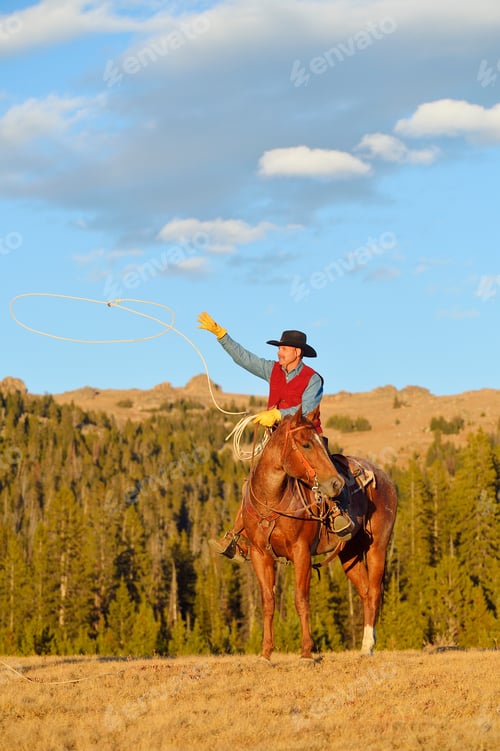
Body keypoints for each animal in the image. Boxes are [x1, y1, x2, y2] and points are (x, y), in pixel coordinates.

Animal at [241, 406, 398, 661]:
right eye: (305, 444)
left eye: (322, 443)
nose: (337, 484)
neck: (272, 500)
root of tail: (384, 477)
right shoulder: (259, 554)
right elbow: (268, 602)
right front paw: (265, 653)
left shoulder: (301, 551)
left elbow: (301, 600)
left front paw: (306, 652)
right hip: (350, 554)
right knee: (365, 592)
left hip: (378, 547)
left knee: (374, 591)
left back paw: (367, 646)